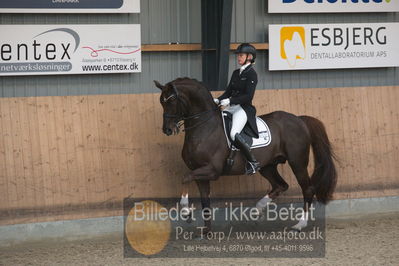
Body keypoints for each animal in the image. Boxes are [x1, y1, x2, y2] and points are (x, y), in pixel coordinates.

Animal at [153, 78, 338, 232]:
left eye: (171, 101)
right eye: (161, 102)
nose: (167, 129)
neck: (204, 127)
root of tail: (299, 119)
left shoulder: (212, 170)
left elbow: (184, 177)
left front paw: (185, 211)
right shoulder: (201, 174)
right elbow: (204, 200)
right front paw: (206, 231)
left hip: (297, 162)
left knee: (307, 189)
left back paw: (299, 224)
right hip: (267, 166)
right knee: (280, 185)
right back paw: (257, 210)